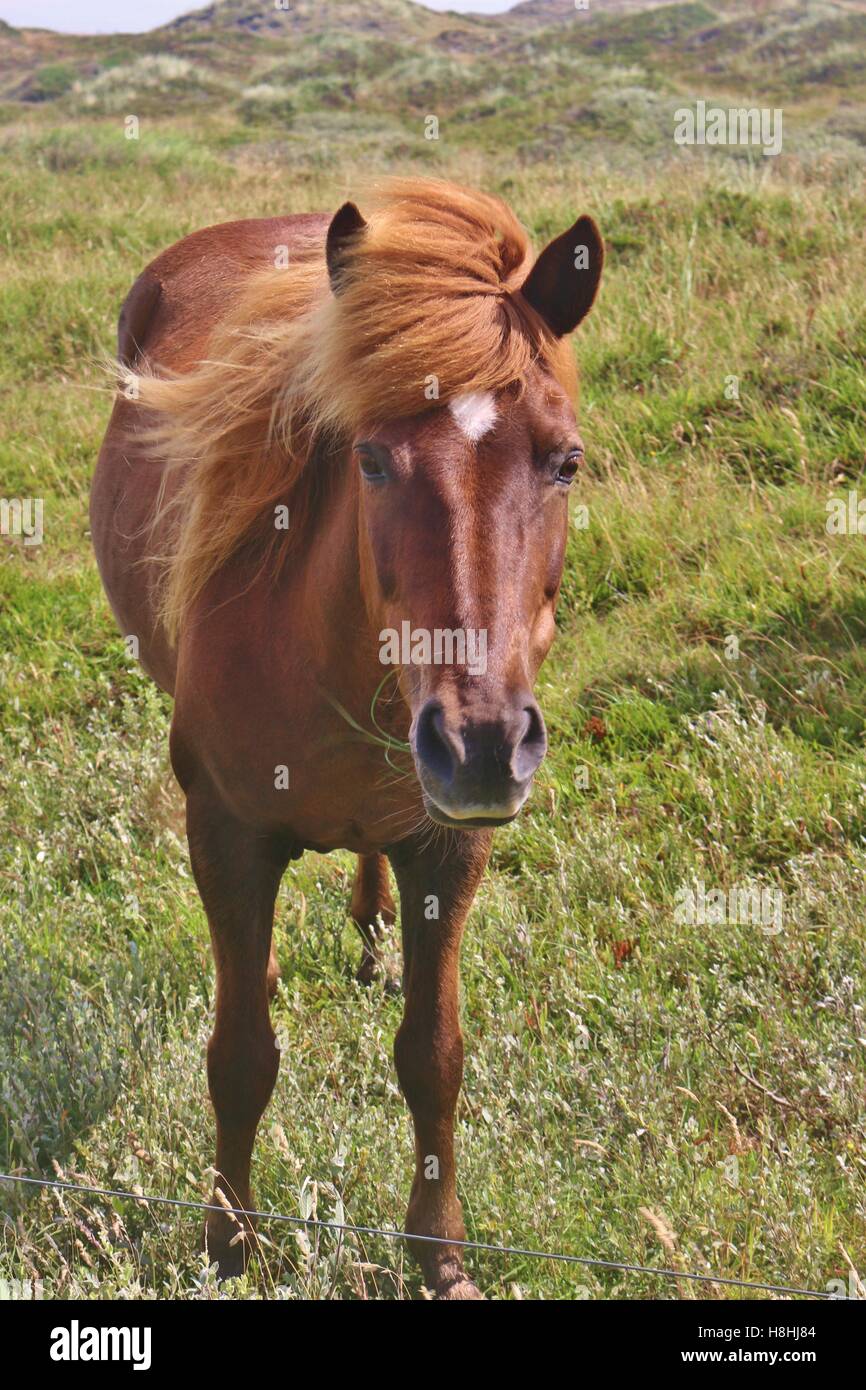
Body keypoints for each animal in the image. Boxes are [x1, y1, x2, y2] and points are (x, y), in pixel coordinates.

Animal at [91, 179, 603, 1299]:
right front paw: (228, 1241)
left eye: (565, 462)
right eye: (369, 457)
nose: (481, 744)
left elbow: (433, 1055)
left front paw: (439, 1253)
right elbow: (240, 1055)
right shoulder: (227, 832)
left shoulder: (449, 845)